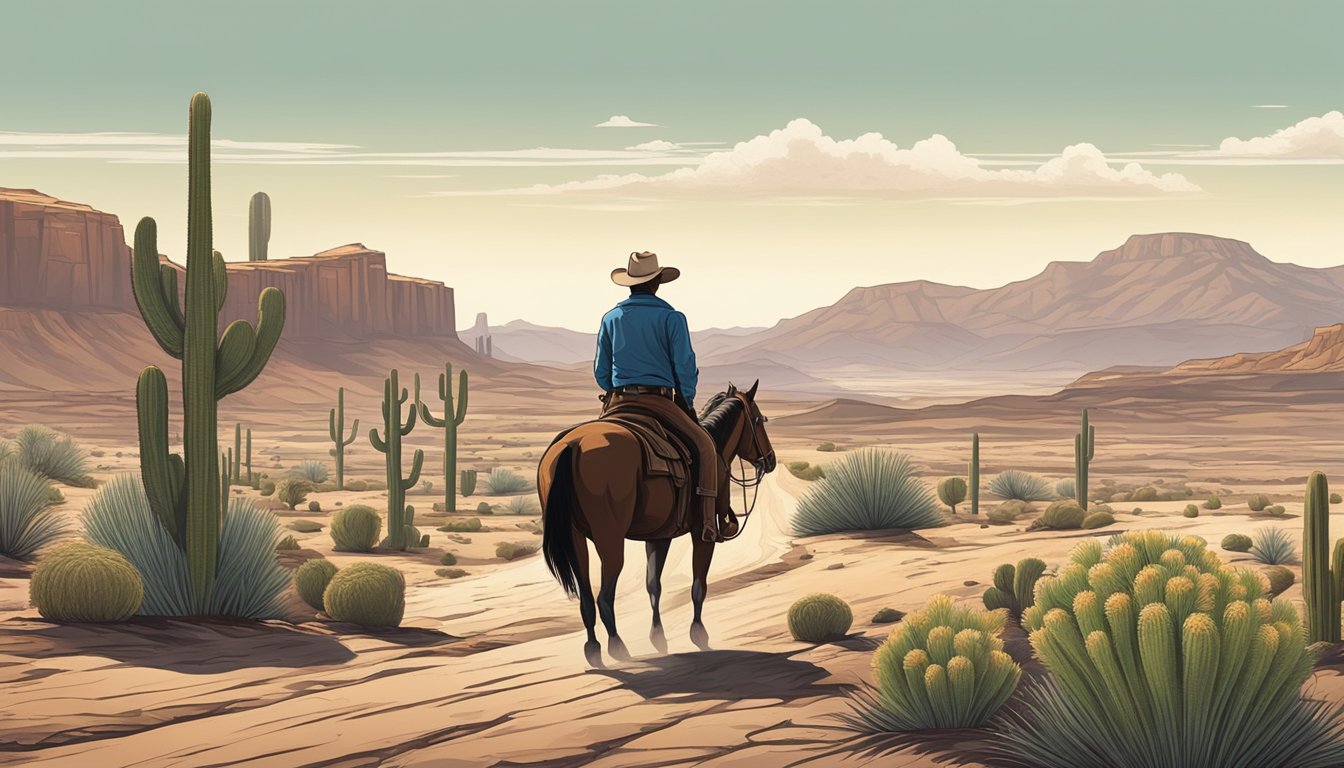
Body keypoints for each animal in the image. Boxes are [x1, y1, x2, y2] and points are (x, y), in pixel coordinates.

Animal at [537, 381, 779, 667]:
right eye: (759, 419)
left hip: (575, 538)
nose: (771, 460)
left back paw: (594, 650)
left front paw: (658, 638)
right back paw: (618, 648)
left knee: (585, 595)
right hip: (610, 538)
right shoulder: (702, 534)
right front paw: (699, 635)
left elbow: (654, 585)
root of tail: (572, 446)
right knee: (604, 596)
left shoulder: (658, 537)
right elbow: (699, 585)